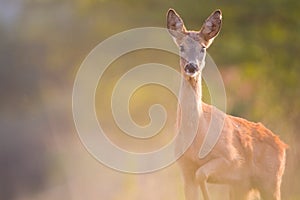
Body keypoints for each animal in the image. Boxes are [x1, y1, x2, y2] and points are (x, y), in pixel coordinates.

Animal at [168, 8, 288, 200]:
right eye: (181, 47)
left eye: (203, 48)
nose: (191, 67)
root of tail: (282, 145)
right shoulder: (185, 168)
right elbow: (196, 178)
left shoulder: (231, 159)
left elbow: (201, 174)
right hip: (244, 186)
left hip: (271, 181)